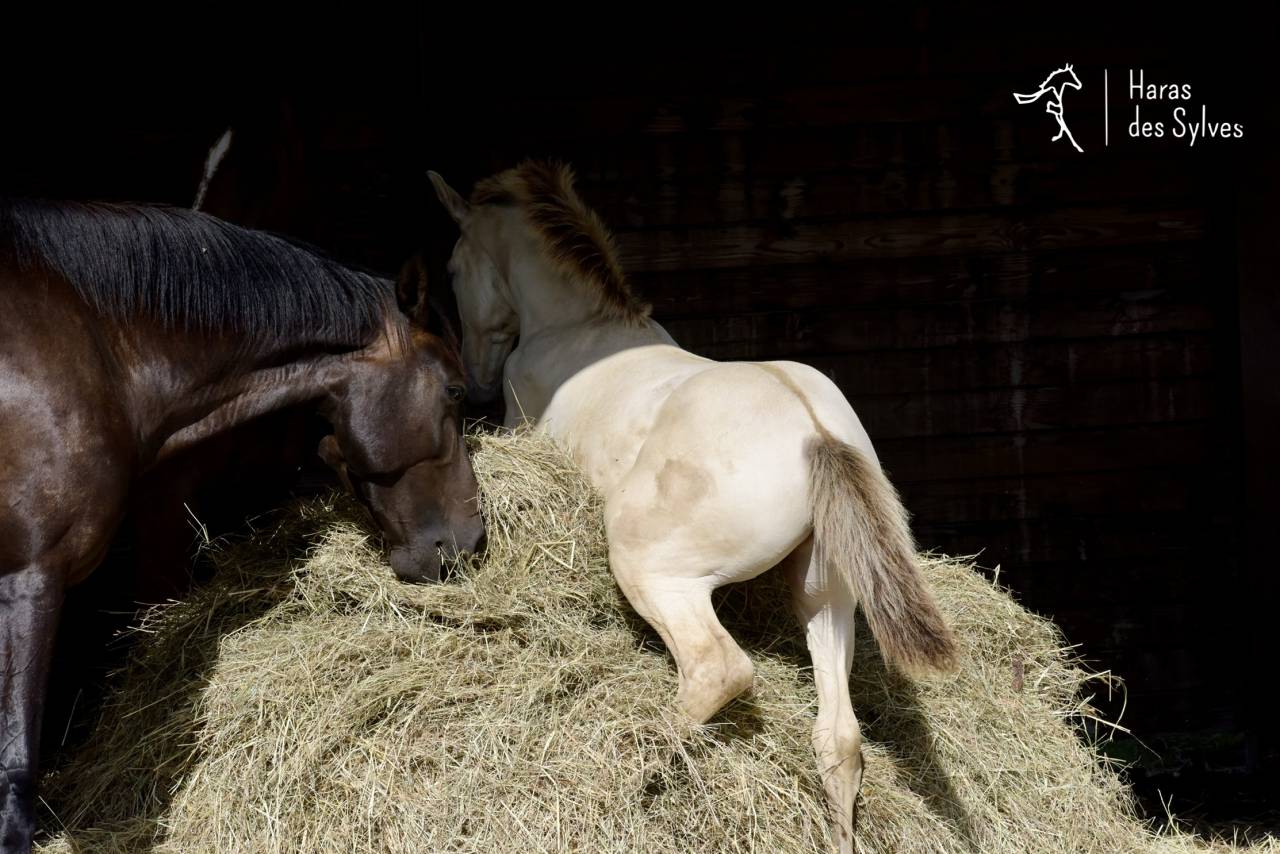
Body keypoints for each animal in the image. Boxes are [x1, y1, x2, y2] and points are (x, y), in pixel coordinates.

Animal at [428, 161, 957, 853]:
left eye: (453, 268)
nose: (477, 379)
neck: (577, 326)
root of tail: (815, 433)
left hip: (653, 571)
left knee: (715, 671)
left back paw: (640, 765)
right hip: (826, 594)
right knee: (838, 737)